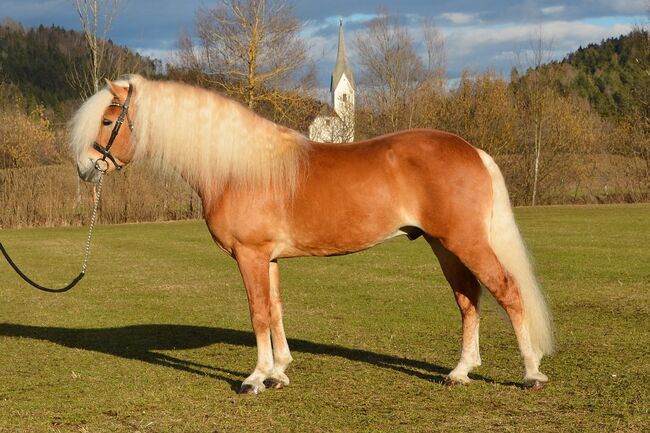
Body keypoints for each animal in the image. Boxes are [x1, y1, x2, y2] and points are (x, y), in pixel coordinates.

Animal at [69, 76, 552, 394]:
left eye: (109, 119)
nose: (87, 168)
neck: (238, 169)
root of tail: (472, 150)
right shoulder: (268, 258)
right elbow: (276, 310)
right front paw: (279, 371)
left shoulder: (250, 255)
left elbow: (258, 313)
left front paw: (255, 379)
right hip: (444, 246)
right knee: (469, 300)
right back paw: (460, 372)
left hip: (465, 243)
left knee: (507, 291)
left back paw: (530, 372)